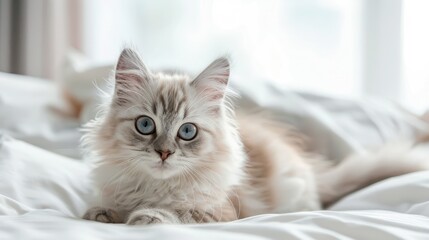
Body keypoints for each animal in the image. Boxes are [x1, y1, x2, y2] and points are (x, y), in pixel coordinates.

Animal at [83, 48, 428, 225]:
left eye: (187, 132)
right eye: (145, 125)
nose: (164, 153)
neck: (156, 188)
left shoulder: (220, 213)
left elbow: (178, 212)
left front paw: (146, 216)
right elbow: (110, 206)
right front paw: (103, 214)